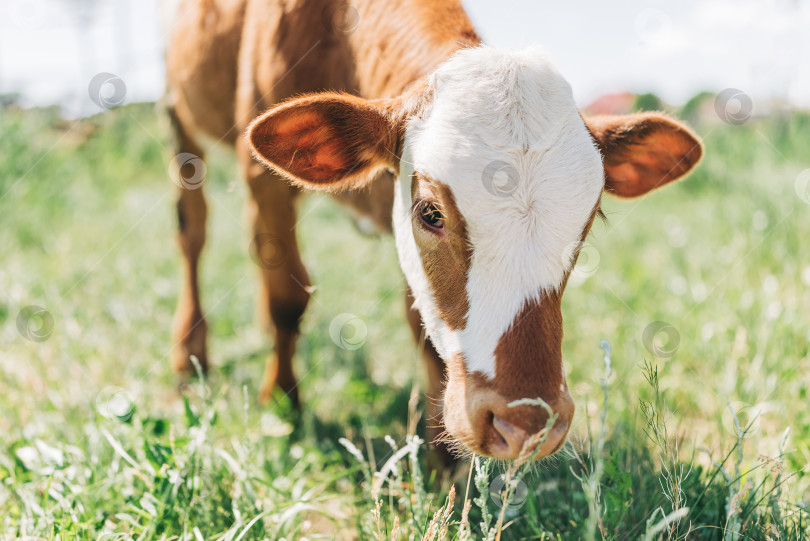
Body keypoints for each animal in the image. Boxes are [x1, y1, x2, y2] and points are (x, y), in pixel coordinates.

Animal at [163, 0, 696, 462]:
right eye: (430, 213)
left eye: (587, 220)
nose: (525, 423)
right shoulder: (263, 181)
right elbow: (286, 298)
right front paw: (282, 402)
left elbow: (420, 321)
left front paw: (443, 455)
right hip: (176, 113)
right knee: (193, 232)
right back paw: (189, 353)